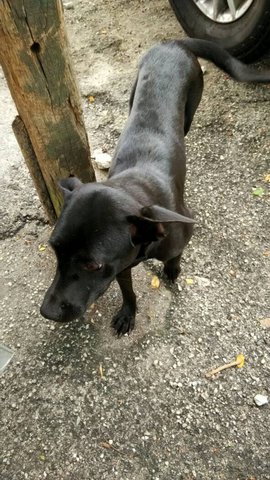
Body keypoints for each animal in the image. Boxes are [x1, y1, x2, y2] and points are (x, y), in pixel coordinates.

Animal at [40, 38, 270, 334]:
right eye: (54, 248)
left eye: (92, 264)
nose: (47, 312)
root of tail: (172, 43)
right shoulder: (121, 267)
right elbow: (128, 292)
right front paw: (128, 314)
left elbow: (175, 256)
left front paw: (172, 270)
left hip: (190, 108)